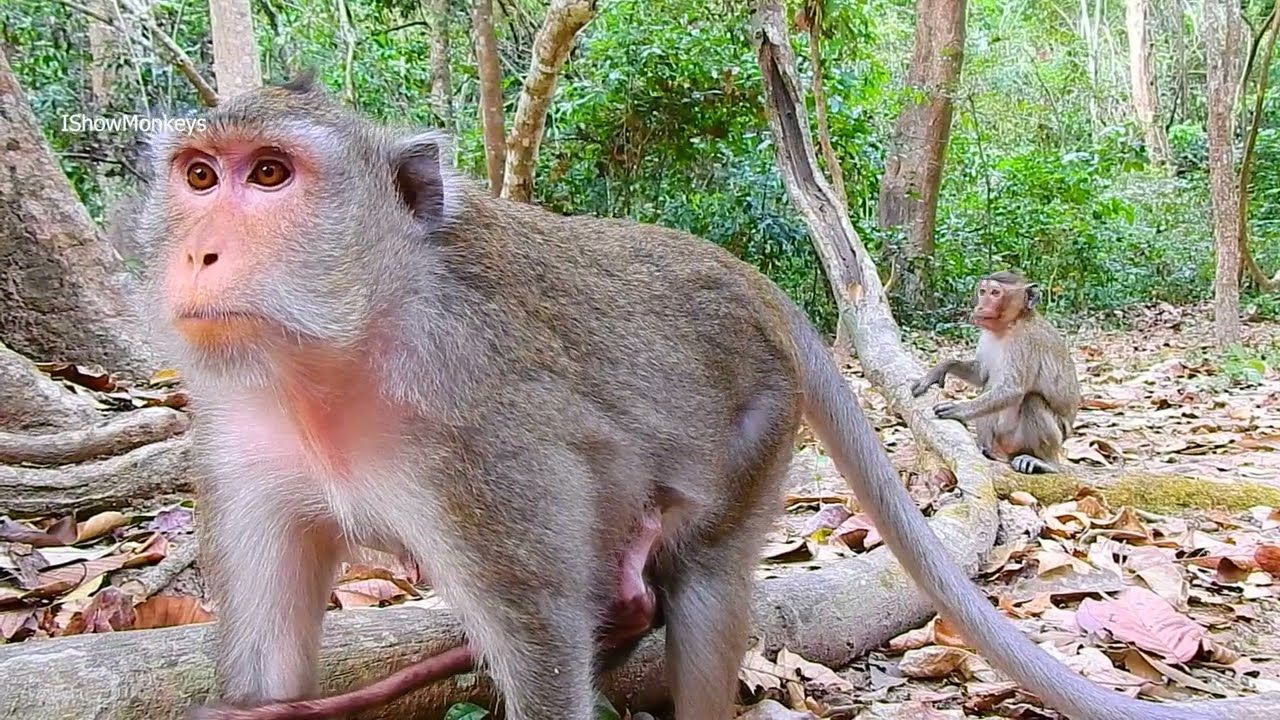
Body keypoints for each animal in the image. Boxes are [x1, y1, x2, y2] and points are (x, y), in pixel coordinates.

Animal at [911, 271, 1080, 475]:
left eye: (995, 293)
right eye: (983, 291)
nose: (980, 305)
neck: (1009, 325)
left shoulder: (1024, 341)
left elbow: (1012, 390)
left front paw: (959, 409)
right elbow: (980, 375)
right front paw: (939, 369)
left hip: (1041, 437)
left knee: (1031, 400)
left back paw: (1047, 463)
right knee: (990, 386)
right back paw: (988, 450)